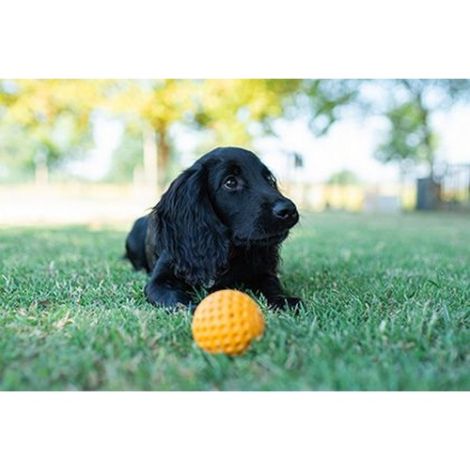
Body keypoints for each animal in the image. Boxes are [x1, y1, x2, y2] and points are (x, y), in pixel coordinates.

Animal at [125, 145, 302, 310]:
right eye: (230, 182)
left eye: (269, 179)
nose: (289, 210)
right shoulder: (160, 281)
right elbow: (175, 299)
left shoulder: (262, 272)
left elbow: (271, 285)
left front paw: (283, 301)